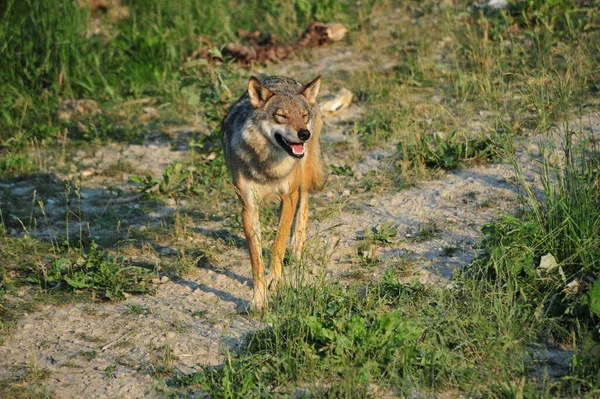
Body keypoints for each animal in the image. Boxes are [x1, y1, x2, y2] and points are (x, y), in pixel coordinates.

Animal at [221, 76, 326, 310]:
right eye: (282, 116)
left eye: (303, 116)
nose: (304, 134)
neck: (268, 165)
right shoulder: (248, 208)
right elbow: (256, 260)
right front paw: (258, 299)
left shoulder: (288, 197)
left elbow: (278, 245)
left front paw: (275, 282)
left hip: (302, 175)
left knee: (304, 203)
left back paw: (297, 248)